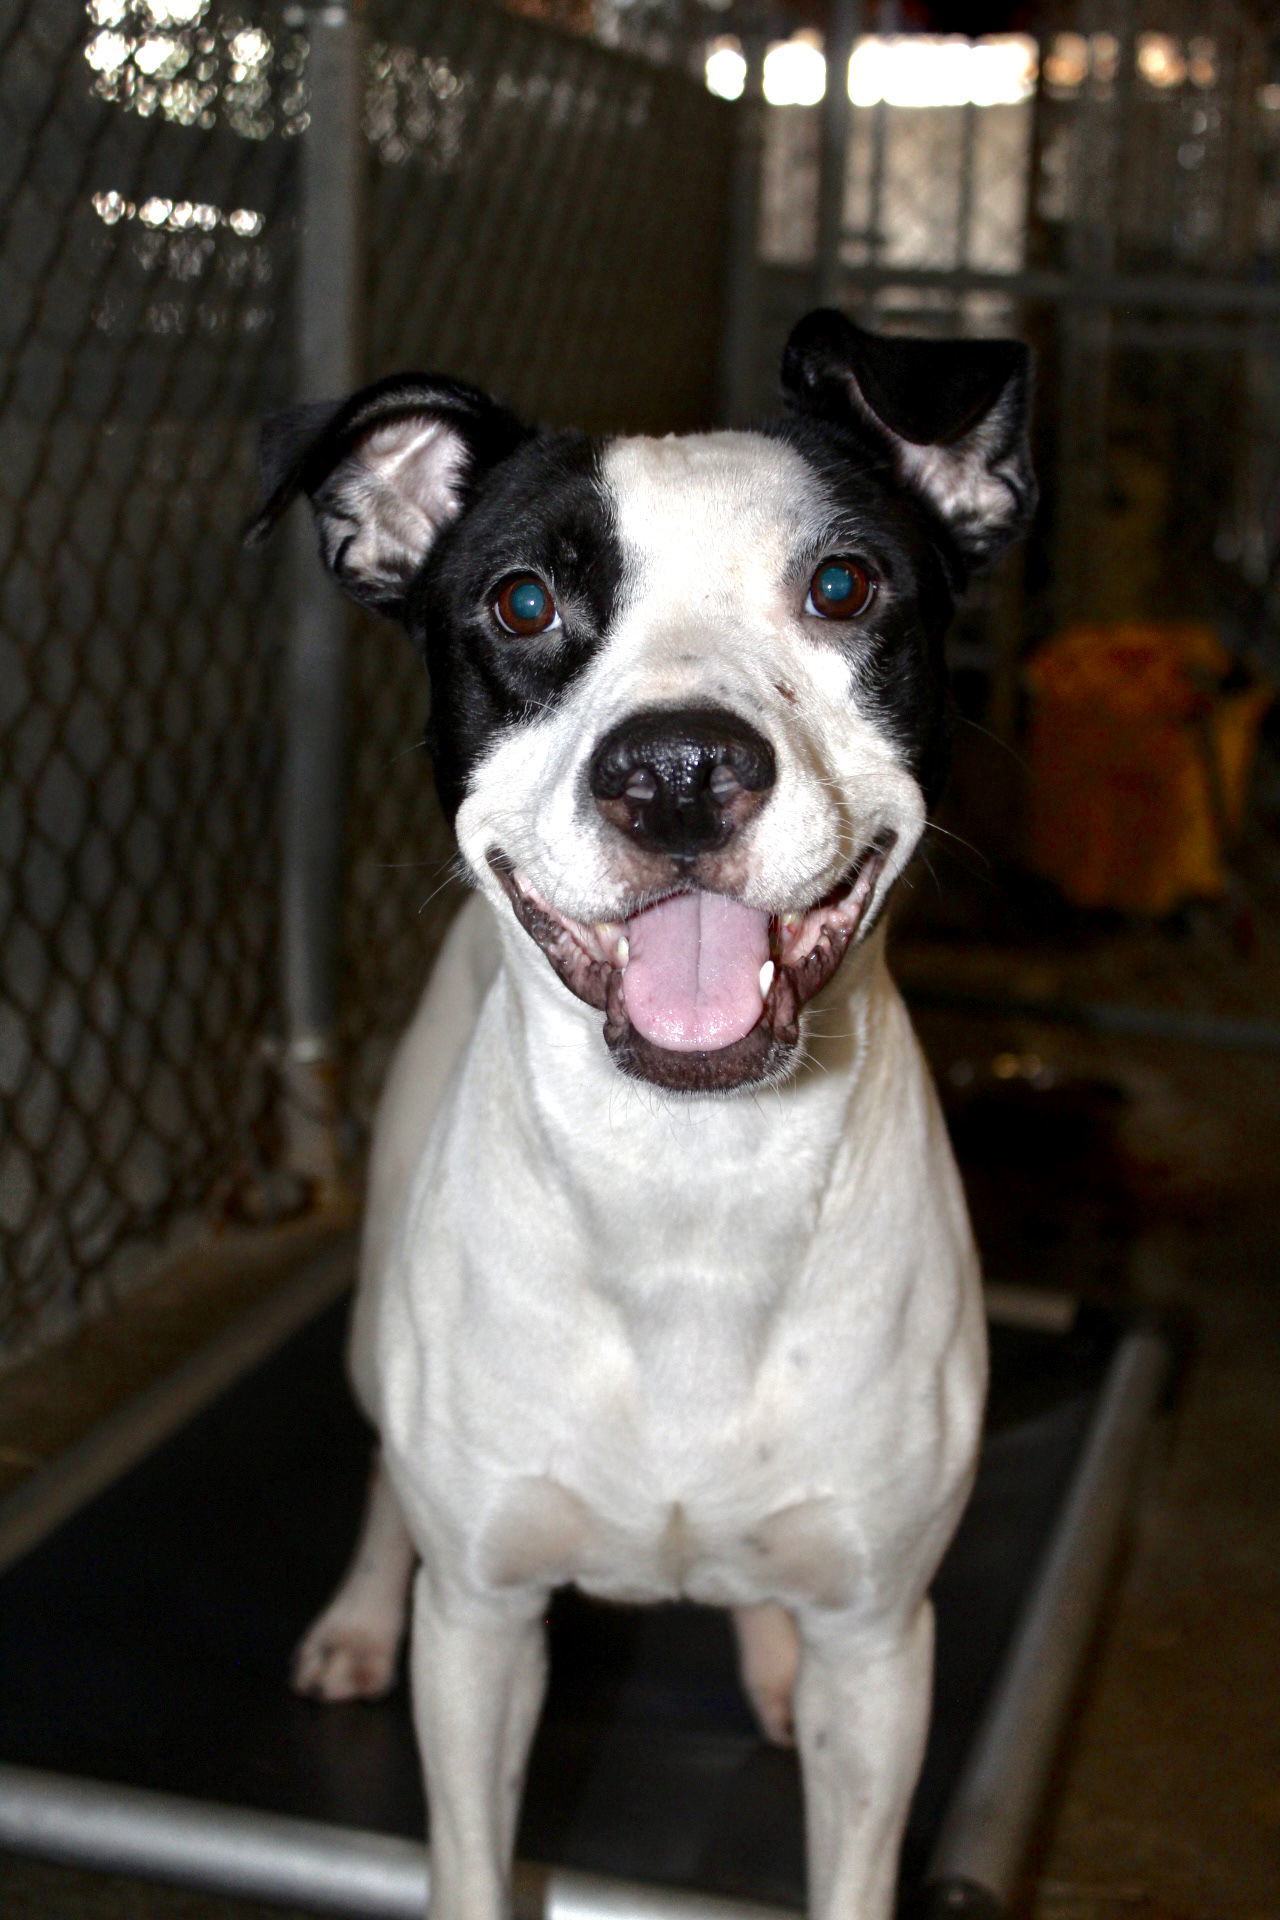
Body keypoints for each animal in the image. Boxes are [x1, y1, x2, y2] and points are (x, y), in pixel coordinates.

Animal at [253, 311, 1043, 1920]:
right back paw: (360, 1617)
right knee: (383, 1485)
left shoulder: (885, 1643)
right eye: (522, 600)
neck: (691, 1190)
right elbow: (473, 1852)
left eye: (842, 584)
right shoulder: (485, 1630)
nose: (677, 769)